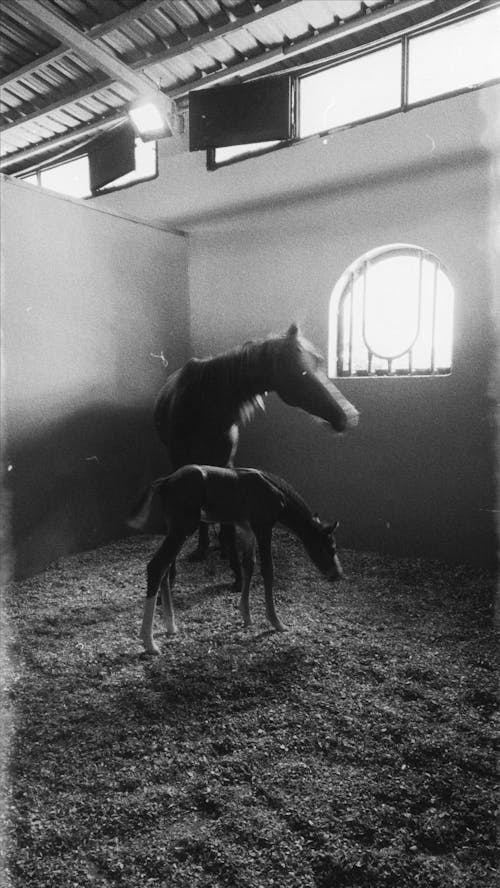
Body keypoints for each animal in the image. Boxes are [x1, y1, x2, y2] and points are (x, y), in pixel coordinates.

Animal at [128, 468, 344, 656]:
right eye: (329, 548)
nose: (338, 574)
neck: (274, 492)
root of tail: (165, 481)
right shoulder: (263, 527)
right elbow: (268, 569)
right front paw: (276, 622)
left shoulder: (247, 528)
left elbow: (248, 565)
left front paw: (246, 616)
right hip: (183, 528)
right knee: (156, 566)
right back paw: (149, 643)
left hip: (175, 529)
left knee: (165, 568)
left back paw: (171, 627)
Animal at [154, 326, 358, 560]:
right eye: (302, 372)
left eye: (319, 361)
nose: (344, 417)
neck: (204, 402)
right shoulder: (180, 460)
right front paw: (203, 547)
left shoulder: (225, 461)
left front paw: (226, 546)